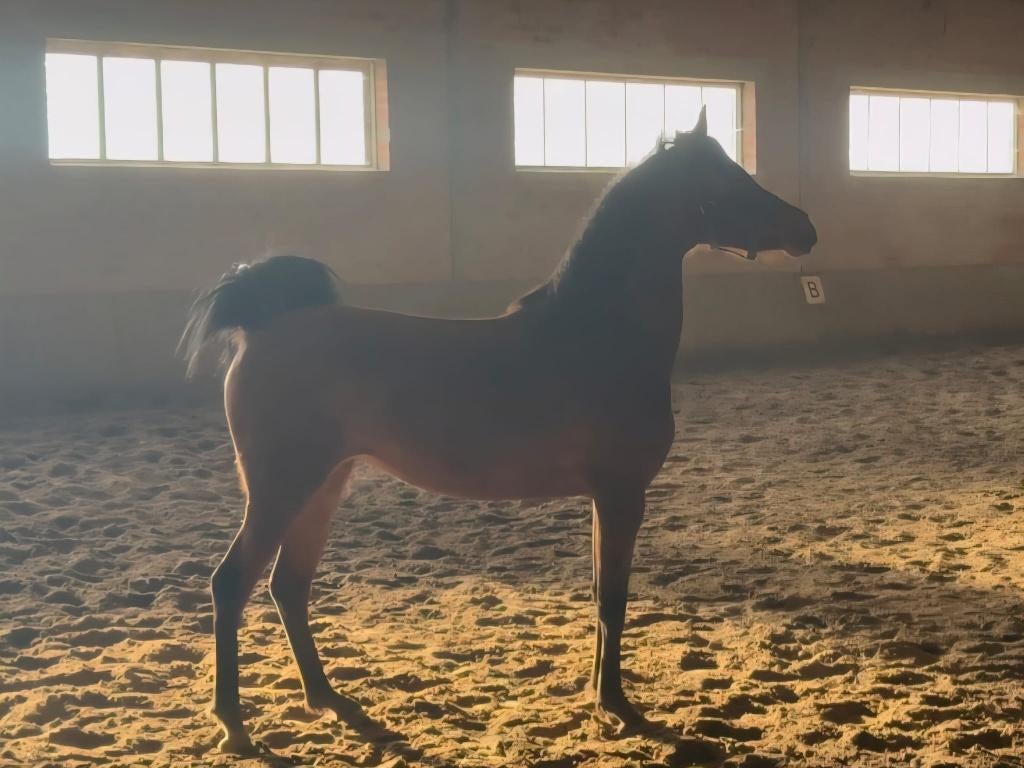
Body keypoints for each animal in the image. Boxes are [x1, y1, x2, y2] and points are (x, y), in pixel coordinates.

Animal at [180, 108, 817, 755]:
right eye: (728, 180)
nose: (806, 228)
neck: (598, 334)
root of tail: (261, 328)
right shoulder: (621, 494)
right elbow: (613, 599)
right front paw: (618, 705)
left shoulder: (604, 498)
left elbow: (599, 594)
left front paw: (597, 696)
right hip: (282, 491)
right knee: (231, 585)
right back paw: (234, 724)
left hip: (322, 487)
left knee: (289, 586)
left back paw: (329, 700)